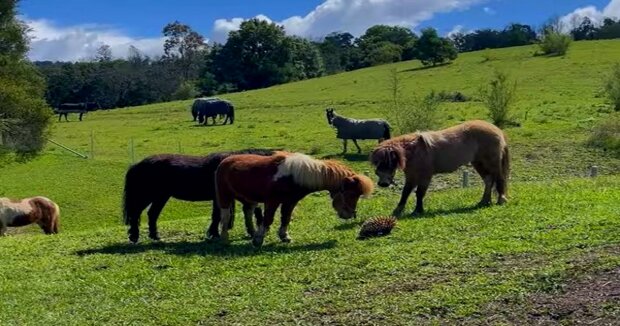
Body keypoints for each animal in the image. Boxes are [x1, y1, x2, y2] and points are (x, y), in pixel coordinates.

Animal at [122, 149, 274, 243]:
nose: (266, 230)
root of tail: (137, 165)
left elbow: (219, 215)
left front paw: (213, 233)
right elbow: (217, 216)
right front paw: (214, 234)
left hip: (161, 197)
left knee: (152, 214)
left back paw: (155, 236)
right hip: (148, 196)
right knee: (136, 213)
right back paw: (134, 236)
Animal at [216, 153, 376, 247]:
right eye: (351, 194)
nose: (350, 215)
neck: (294, 176)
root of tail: (225, 161)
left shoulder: (290, 202)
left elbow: (286, 218)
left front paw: (284, 236)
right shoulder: (272, 202)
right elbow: (268, 219)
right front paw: (258, 240)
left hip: (248, 199)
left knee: (248, 212)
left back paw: (252, 232)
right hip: (224, 197)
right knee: (225, 216)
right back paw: (224, 237)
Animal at [368, 120, 508, 216]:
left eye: (389, 161)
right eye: (377, 162)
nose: (383, 183)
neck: (415, 151)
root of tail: (497, 130)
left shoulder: (425, 176)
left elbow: (419, 193)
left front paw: (418, 211)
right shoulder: (411, 176)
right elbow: (405, 192)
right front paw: (397, 211)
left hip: (492, 163)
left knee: (499, 179)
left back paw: (501, 199)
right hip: (478, 163)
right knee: (489, 180)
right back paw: (484, 201)